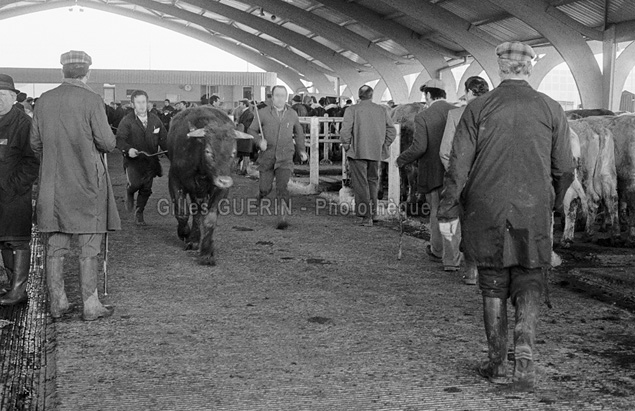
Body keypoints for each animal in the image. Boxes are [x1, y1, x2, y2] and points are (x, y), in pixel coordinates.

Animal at [166, 108, 251, 266]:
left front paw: (207, 252)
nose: (224, 180)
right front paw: (184, 233)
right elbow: (182, 212)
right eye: (208, 151)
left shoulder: (220, 190)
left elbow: (209, 219)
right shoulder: (174, 179)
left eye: (233, 152)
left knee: (198, 213)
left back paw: (195, 240)